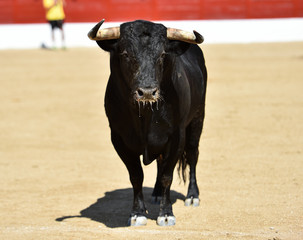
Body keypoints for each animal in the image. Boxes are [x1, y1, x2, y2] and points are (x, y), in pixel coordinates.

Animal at [86, 19, 208, 226]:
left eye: (162, 54)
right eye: (125, 54)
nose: (148, 91)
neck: (144, 116)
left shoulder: (177, 136)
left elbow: (167, 175)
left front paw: (166, 214)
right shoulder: (118, 138)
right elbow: (136, 175)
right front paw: (137, 214)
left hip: (197, 120)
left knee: (192, 155)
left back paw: (192, 196)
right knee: (160, 161)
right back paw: (157, 193)